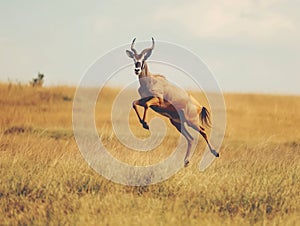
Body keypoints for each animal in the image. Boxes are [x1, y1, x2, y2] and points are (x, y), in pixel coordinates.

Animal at [125, 37, 219, 166]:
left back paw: (215, 153)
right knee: (191, 138)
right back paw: (186, 161)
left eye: (144, 59)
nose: (137, 69)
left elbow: (147, 105)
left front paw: (145, 124)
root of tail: (199, 106)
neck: (151, 80)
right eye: (134, 59)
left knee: (203, 131)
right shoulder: (144, 99)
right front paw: (144, 124)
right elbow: (134, 103)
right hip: (177, 123)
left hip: (191, 122)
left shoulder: (157, 100)